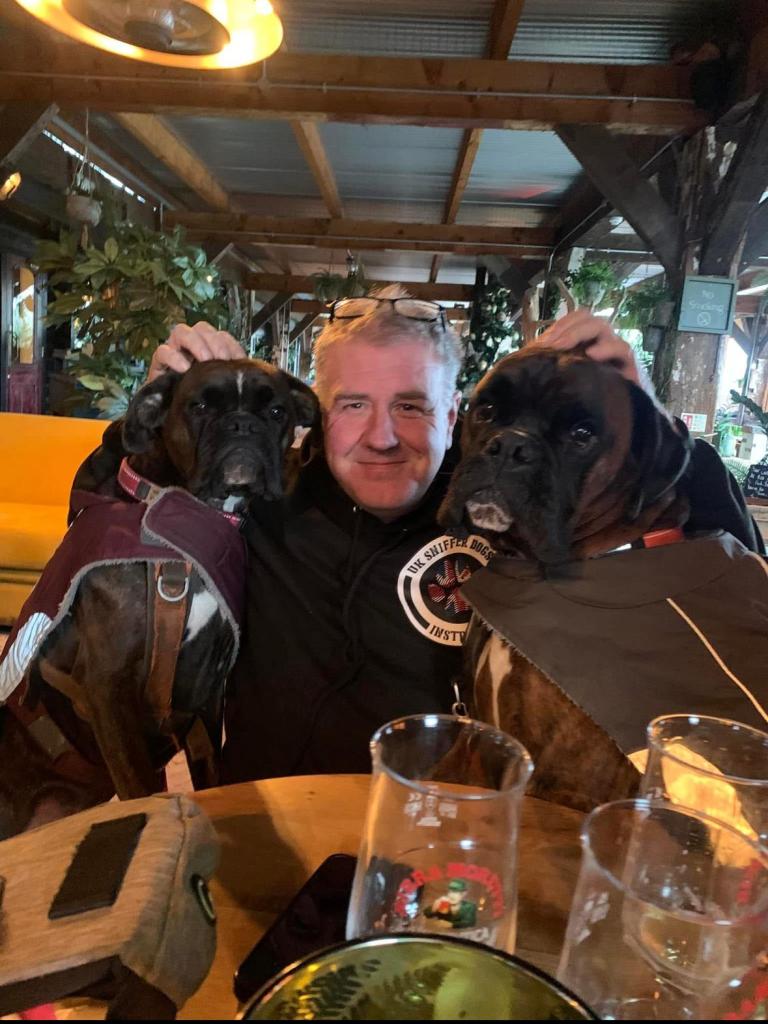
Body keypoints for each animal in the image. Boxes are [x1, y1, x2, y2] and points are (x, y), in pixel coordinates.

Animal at [0, 359, 318, 836]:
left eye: (278, 412)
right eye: (200, 406)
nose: (243, 425)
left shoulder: (206, 693)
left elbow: (210, 772)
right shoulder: (109, 687)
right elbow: (140, 790)